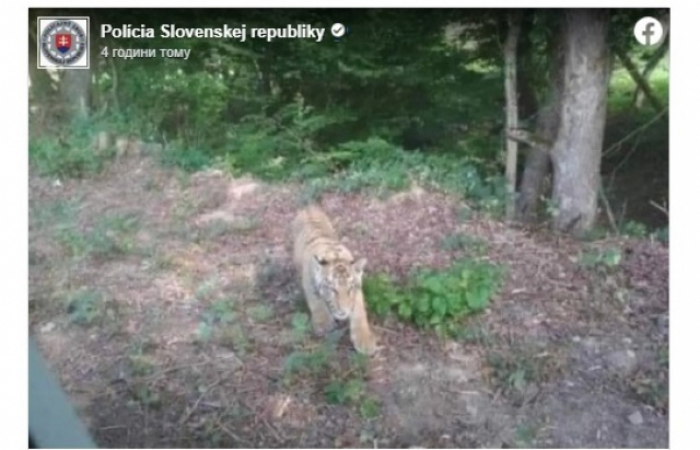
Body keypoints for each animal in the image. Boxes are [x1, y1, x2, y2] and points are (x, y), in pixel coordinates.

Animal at [290, 204, 378, 356]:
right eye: (332, 289)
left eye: (349, 289)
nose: (342, 312)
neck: (334, 256)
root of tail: (308, 207)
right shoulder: (308, 282)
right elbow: (316, 301)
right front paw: (324, 323)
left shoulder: (357, 291)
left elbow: (359, 312)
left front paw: (364, 340)